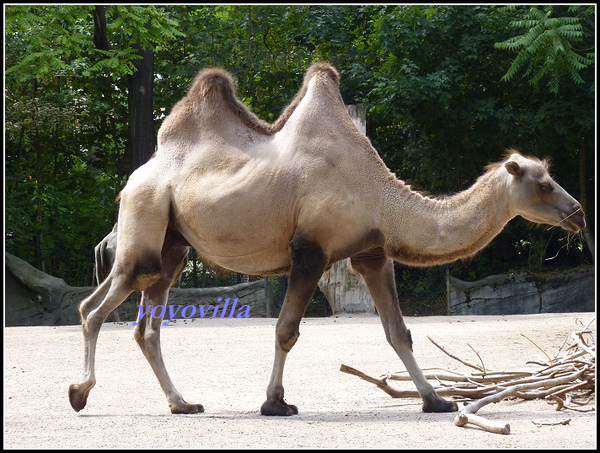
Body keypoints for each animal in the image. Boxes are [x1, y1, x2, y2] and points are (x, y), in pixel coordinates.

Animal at [68, 62, 584, 416]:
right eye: (542, 183)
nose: (577, 213)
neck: (377, 194)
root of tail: (137, 177)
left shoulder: (372, 253)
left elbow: (399, 332)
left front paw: (436, 400)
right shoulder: (310, 251)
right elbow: (285, 329)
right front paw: (275, 403)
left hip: (172, 245)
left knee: (144, 323)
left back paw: (182, 403)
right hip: (145, 218)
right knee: (95, 307)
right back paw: (79, 393)